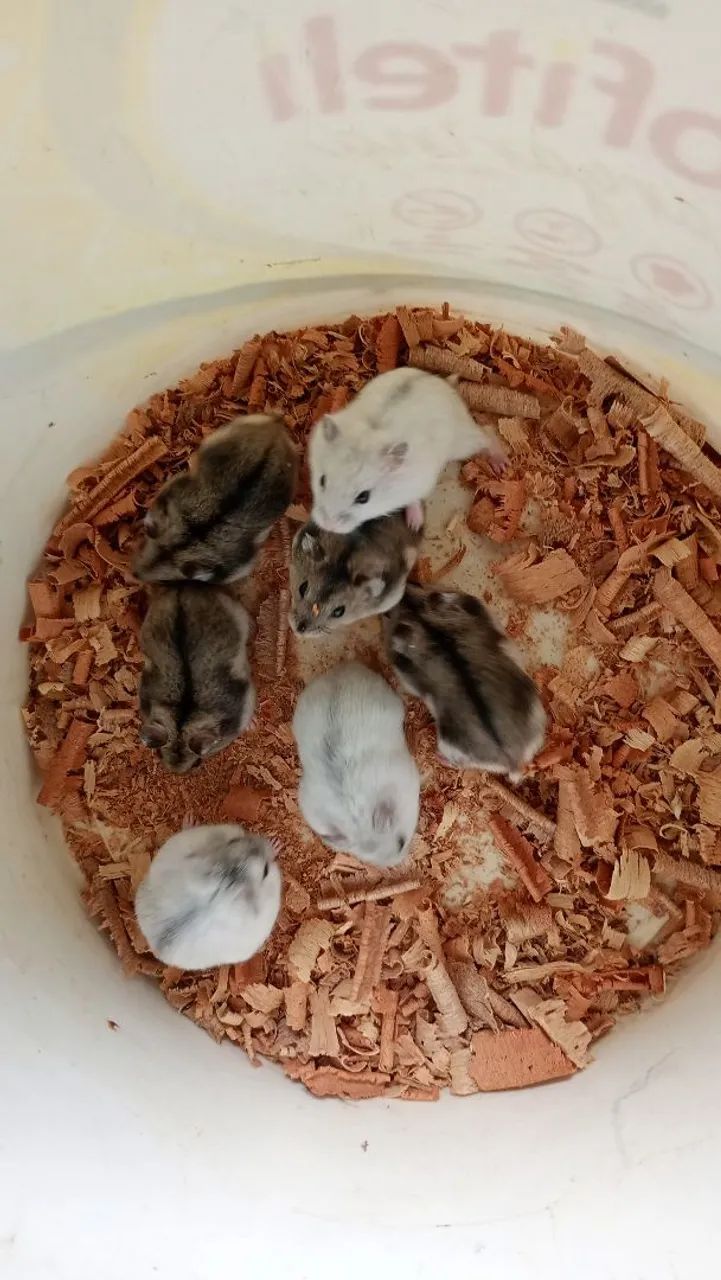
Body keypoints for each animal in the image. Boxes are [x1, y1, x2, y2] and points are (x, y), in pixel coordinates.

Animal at [135, 824, 282, 969]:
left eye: (234, 840)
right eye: (266, 870)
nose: (264, 841)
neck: (230, 881)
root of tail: (155, 949)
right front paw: (275, 843)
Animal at [308, 367, 505, 534]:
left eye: (364, 497)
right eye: (322, 481)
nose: (328, 526)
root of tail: (442, 381)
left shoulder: (420, 481)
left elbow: (413, 499)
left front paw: (414, 525)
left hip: (463, 443)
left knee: (487, 432)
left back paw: (501, 465)